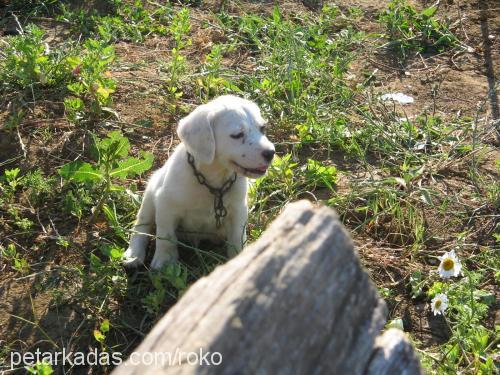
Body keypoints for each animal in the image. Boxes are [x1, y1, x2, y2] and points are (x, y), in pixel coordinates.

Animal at [123, 95, 276, 268]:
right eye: (237, 135)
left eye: (262, 129)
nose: (270, 153)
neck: (214, 181)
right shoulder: (166, 205)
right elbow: (166, 237)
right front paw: (165, 262)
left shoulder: (238, 211)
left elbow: (238, 239)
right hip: (150, 194)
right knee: (142, 225)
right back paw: (134, 254)